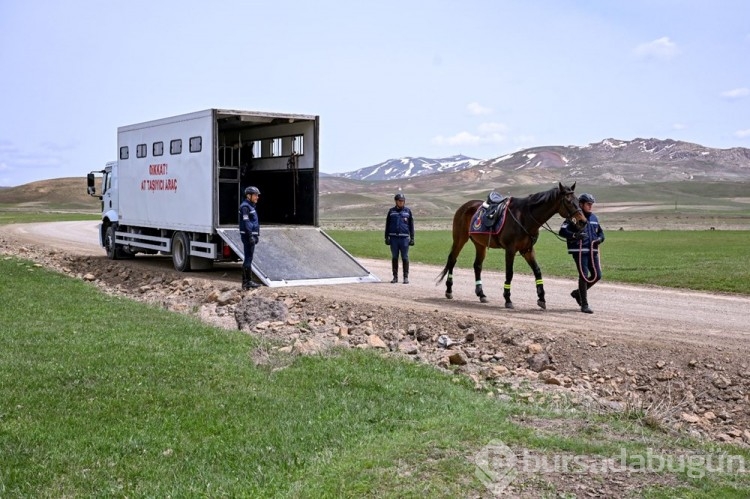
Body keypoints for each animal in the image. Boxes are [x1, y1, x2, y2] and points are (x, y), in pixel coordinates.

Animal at [438, 183, 592, 308]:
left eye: (578, 201)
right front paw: (508, 299)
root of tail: (465, 206)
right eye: (568, 201)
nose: (583, 221)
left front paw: (541, 298)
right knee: (452, 260)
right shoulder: (510, 250)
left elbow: (537, 271)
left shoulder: (527, 250)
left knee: (477, 266)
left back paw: (481, 294)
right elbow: (509, 273)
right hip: (460, 239)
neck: (525, 217)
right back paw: (449, 290)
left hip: (480, 244)